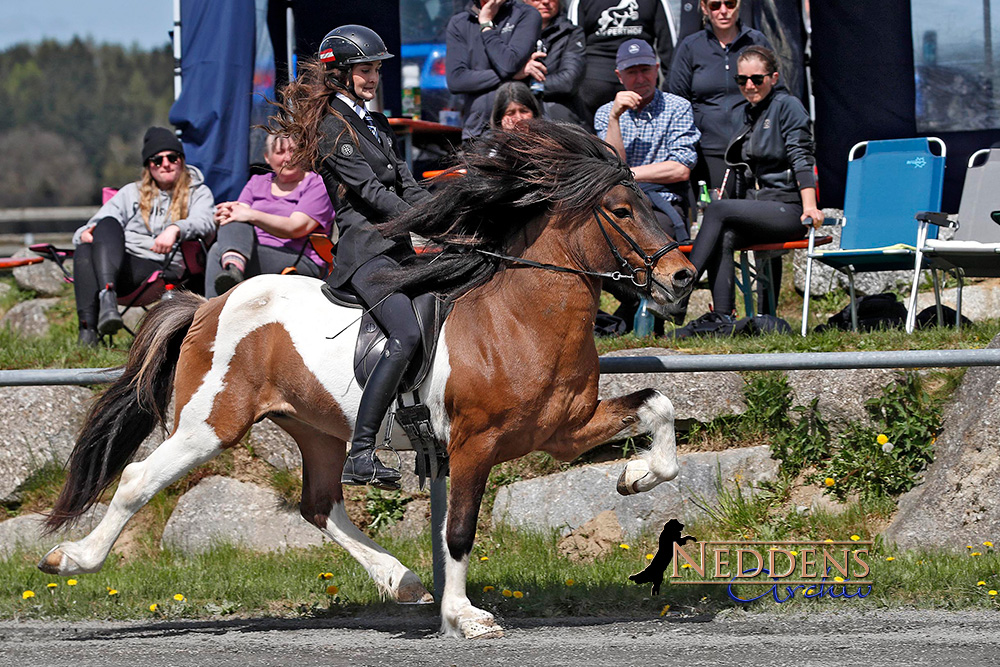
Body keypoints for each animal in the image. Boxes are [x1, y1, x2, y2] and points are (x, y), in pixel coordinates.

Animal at [39, 122, 696, 640]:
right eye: (621, 211)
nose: (683, 279)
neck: (520, 316)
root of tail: (207, 304)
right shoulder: (474, 443)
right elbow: (458, 530)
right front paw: (465, 617)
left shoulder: (564, 428)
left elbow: (657, 405)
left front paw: (636, 476)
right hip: (211, 424)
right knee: (137, 479)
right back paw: (70, 558)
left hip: (318, 428)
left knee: (318, 503)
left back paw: (400, 580)